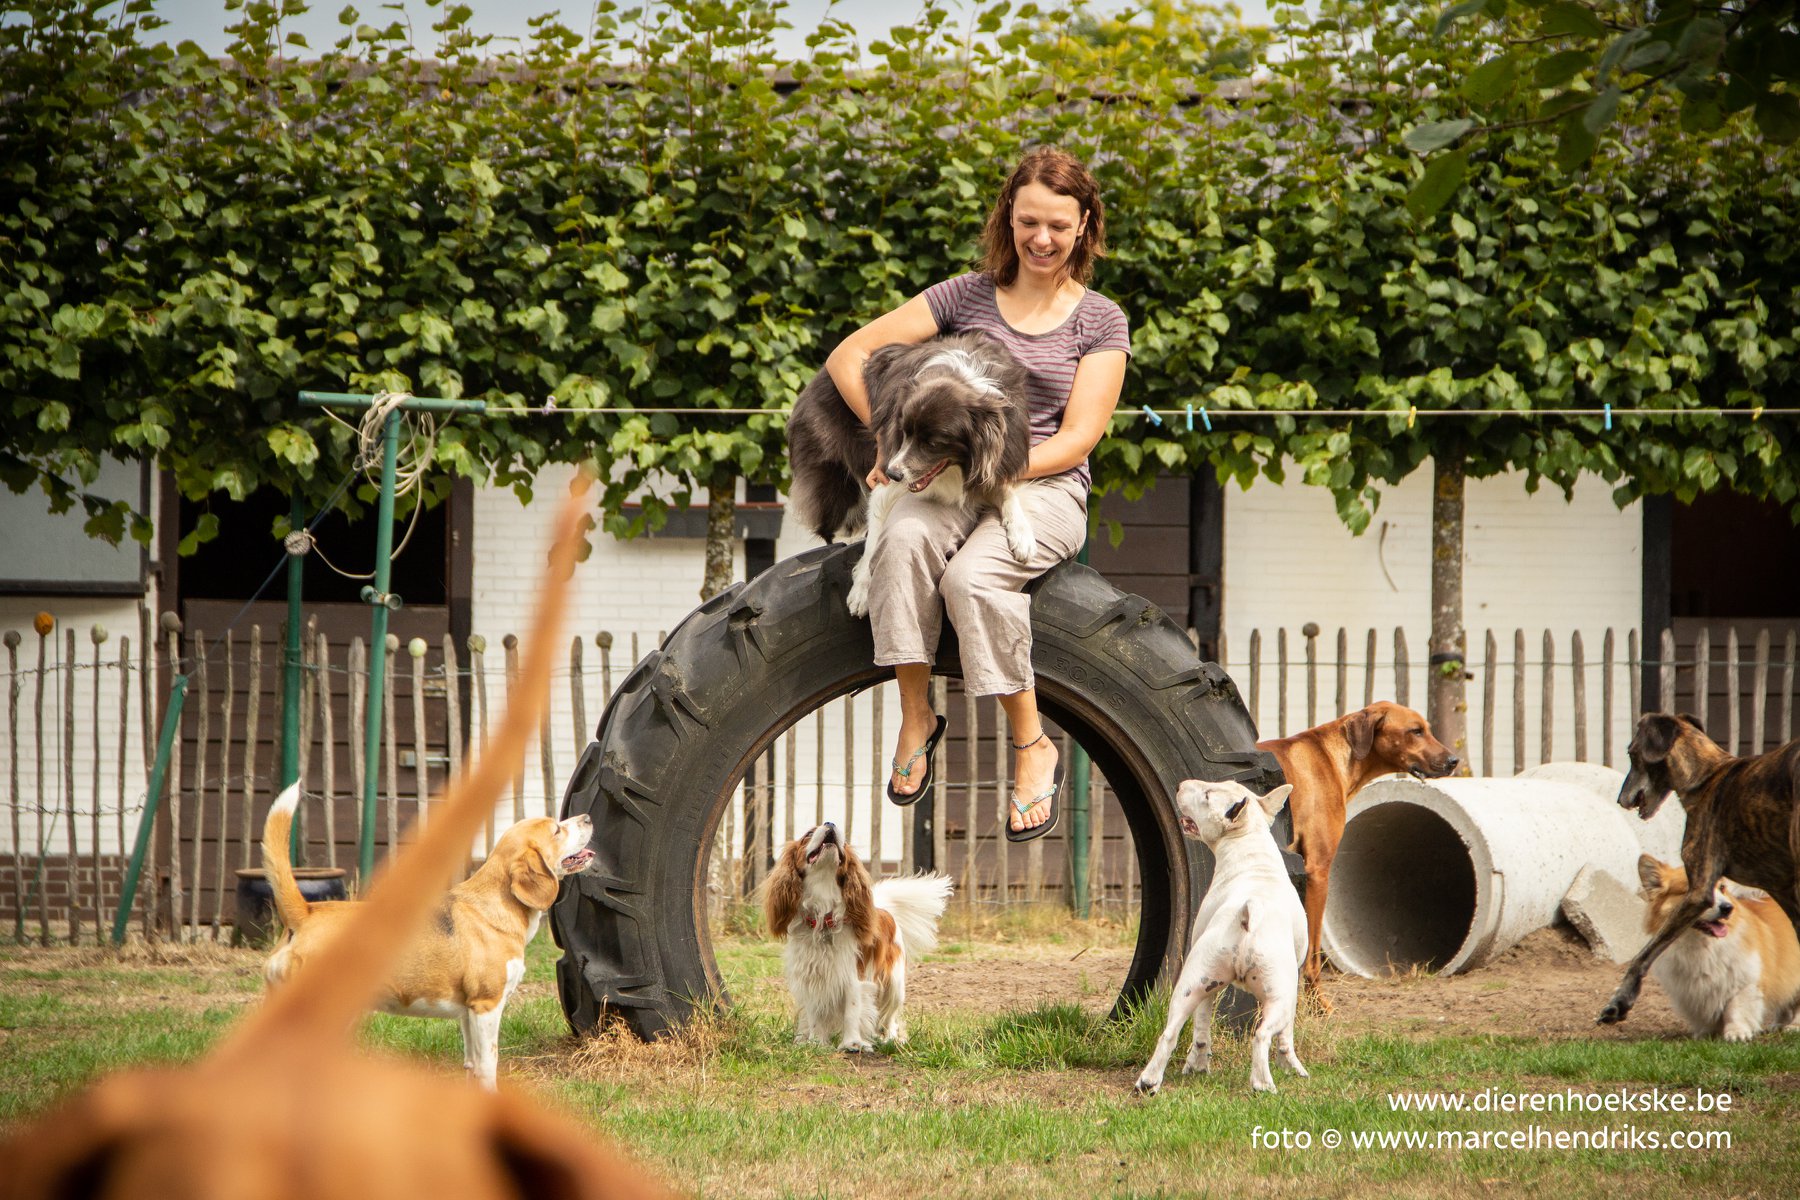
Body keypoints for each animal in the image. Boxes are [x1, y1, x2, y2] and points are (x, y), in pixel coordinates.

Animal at [1, 482, 676, 1200]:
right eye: (555, 827)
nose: (587, 819)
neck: (496, 907)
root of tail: (306, 913)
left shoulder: (470, 1016)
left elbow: (473, 1071)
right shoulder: (486, 1006)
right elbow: (488, 1071)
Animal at [792, 332, 1036, 618]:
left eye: (933, 443)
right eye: (905, 432)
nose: (892, 473)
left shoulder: (994, 462)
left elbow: (1007, 492)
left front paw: (1022, 536)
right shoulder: (886, 469)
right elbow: (874, 541)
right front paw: (861, 591)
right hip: (836, 487)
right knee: (833, 529)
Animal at [1137, 780, 1310, 1101]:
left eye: (1207, 795)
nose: (1181, 784)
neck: (1251, 850)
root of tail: (1251, 908)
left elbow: (1202, 1028)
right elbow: (1287, 1036)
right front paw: (1291, 1066)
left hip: (1192, 984)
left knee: (1171, 1032)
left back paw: (1150, 1080)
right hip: (1279, 995)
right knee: (1262, 1035)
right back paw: (1263, 1084)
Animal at [1252, 698, 1461, 1000]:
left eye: (1428, 729)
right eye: (1415, 731)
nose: (1454, 761)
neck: (1333, 755)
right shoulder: (1317, 871)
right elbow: (1311, 955)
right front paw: (1318, 1006)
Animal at [1605, 719, 1800, 1029]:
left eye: (1632, 753)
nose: (1620, 799)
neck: (1707, 776)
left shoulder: (1699, 891)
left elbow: (1645, 952)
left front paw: (1619, 1001)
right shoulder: (1783, 890)